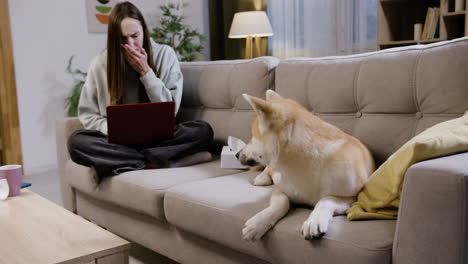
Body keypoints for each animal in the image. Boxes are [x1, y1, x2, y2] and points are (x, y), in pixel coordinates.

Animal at [236, 91, 374, 241]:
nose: (236, 154)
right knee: (269, 169)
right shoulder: (280, 188)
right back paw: (262, 177)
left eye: (252, 136)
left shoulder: (352, 198)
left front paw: (315, 220)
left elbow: (326, 199)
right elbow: (283, 203)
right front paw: (258, 223)